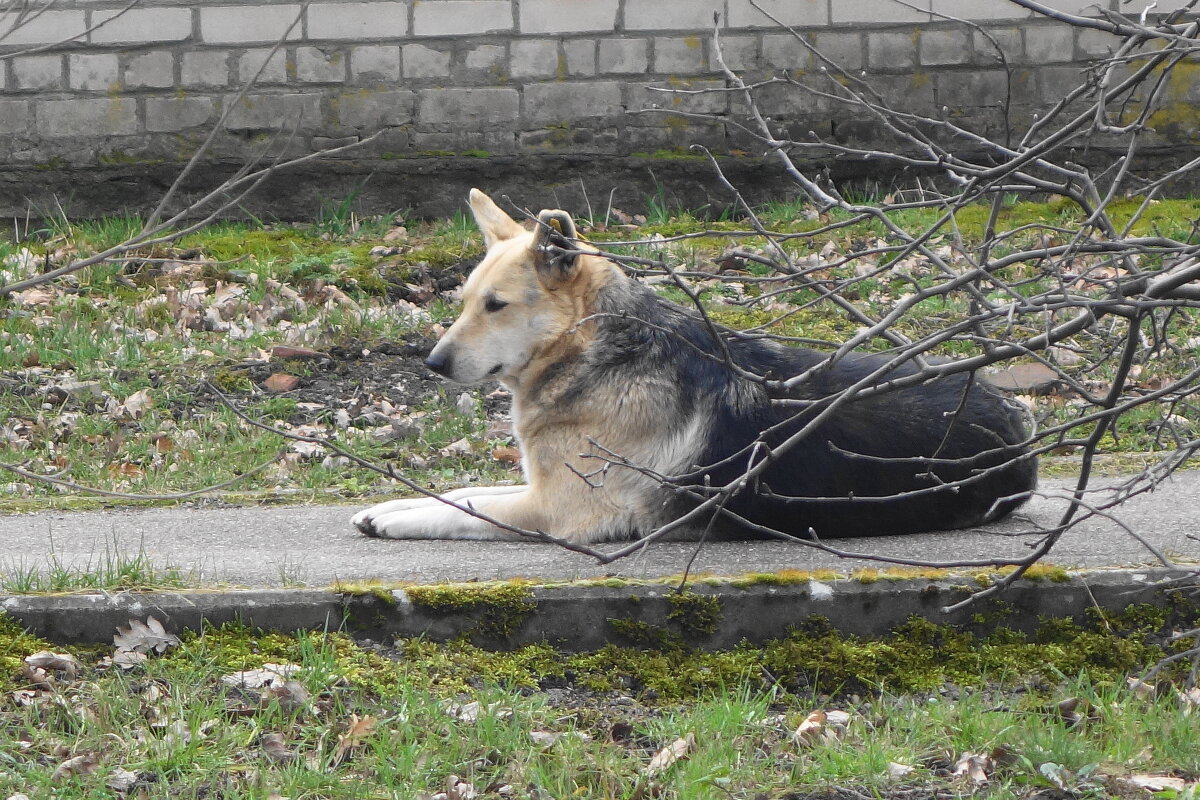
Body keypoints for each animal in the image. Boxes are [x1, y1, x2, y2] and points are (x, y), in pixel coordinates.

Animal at [350, 188, 1036, 544]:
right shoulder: (540, 487)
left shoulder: (553, 510)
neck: (594, 352)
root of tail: (1020, 431)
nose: (433, 363)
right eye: (466, 300)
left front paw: (399, 519)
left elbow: (465, 508)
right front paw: (391, 502)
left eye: (496, 306)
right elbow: (462, 492)